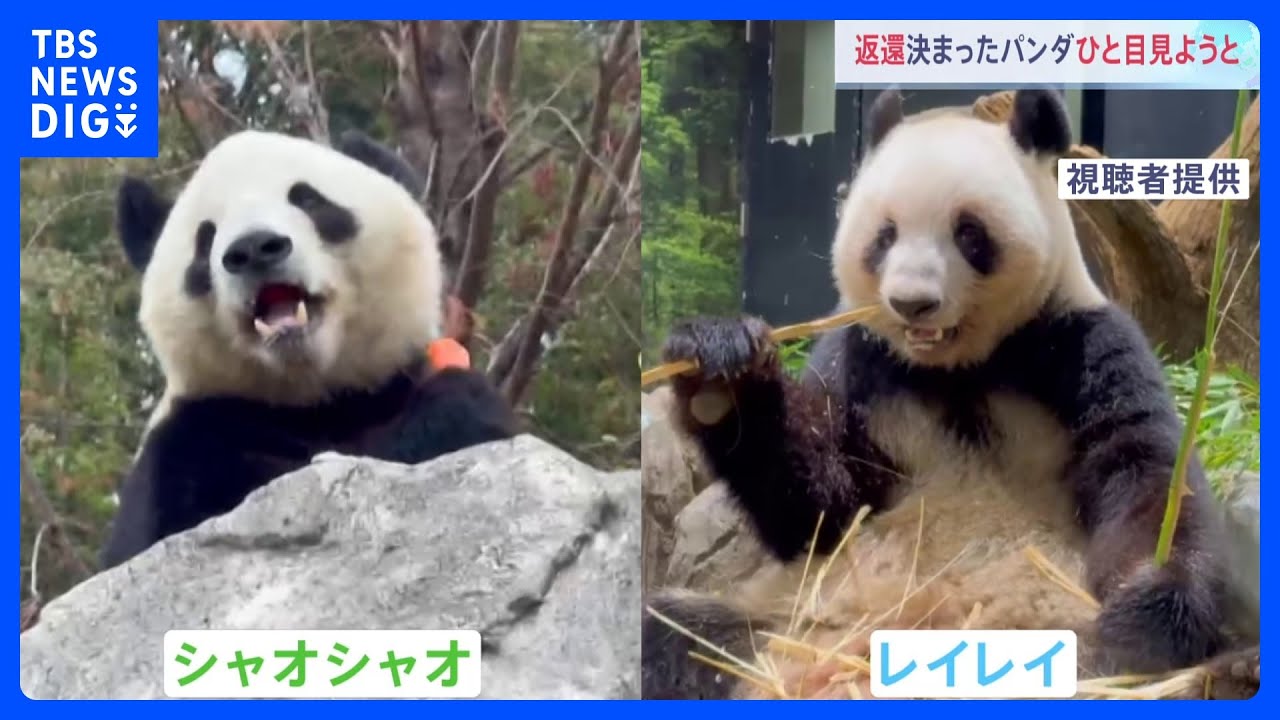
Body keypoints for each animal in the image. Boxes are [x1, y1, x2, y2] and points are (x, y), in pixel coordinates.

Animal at [642, 88, 1244, 699]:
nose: (912, 303)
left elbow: (1144, 475)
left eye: (968, 232)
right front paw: (720, 368)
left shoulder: (1080, 344)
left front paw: (1144, 615)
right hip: (779, 625)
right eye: (884, 236)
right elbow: (819, 509)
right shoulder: (861, 362)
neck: (954, 369)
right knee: (677, 632)